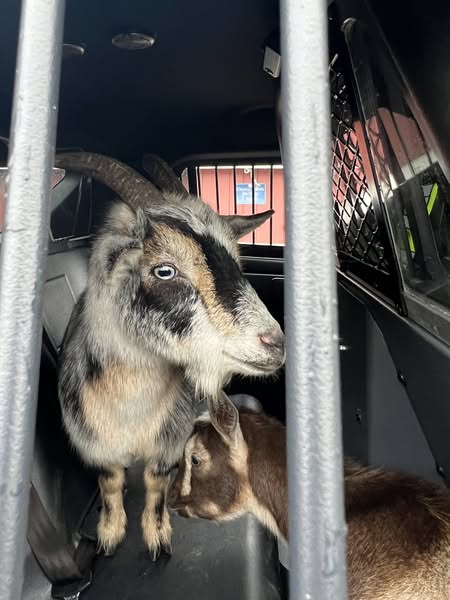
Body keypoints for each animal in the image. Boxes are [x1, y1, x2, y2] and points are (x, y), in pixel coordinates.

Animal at [54, 154, 284, 556]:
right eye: (165, 270)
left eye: (236, 260)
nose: (275, 343)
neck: (131, 412)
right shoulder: (95, 443)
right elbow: (110, 483)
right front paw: (109, 533)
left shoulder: (169, 440)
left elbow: (156, 482)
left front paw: (157, 534)